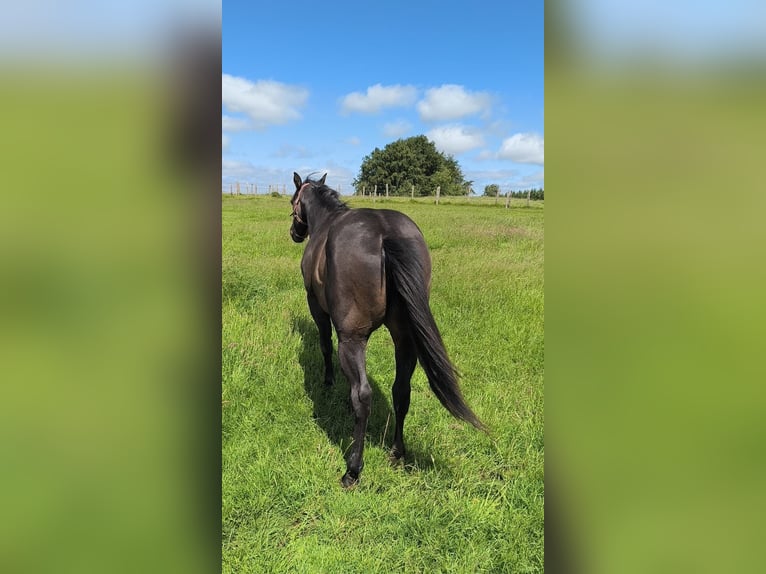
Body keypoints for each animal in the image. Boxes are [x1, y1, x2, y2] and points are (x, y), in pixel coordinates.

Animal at [289, 172, 485, 487]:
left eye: (293, 201)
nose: (294, 233)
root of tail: (385, 234)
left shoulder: (316, 305)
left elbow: (324, 344)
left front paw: (329, 381)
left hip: (353, 339)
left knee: (363, 395)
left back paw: (353, 469)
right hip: (405, 339)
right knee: (401, 390)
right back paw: (397, 452)